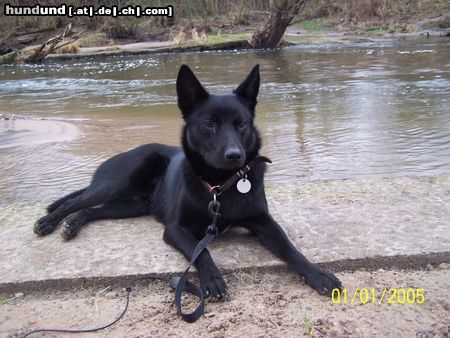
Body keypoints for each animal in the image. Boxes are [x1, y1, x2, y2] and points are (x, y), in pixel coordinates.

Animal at [34, 64, 342, 298]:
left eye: (242, 124)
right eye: (209, 124)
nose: (235, 156)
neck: (219, 186)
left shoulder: (263, 222)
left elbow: (290, 248)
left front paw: (318, 274)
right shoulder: (175, 229)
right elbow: (200, 251)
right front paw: (212, 279)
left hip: (130, 205)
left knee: (90, 210)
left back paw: (74, 223)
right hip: (118, 181)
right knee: (76, 200)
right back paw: (49, 222)